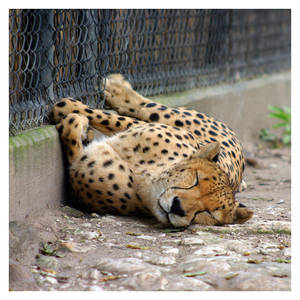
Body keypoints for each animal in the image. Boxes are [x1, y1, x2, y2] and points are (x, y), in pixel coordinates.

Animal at [52, 74, 253, 226]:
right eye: (196, 179)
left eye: (209, 213)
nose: (178, 207)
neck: (146, 174)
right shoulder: (137, 127)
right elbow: (104, 117)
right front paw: (67, 106)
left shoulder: (78, 173)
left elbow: (72, 128)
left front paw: (79, 126)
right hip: (169, 117)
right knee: (145, 106)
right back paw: (116, 86)